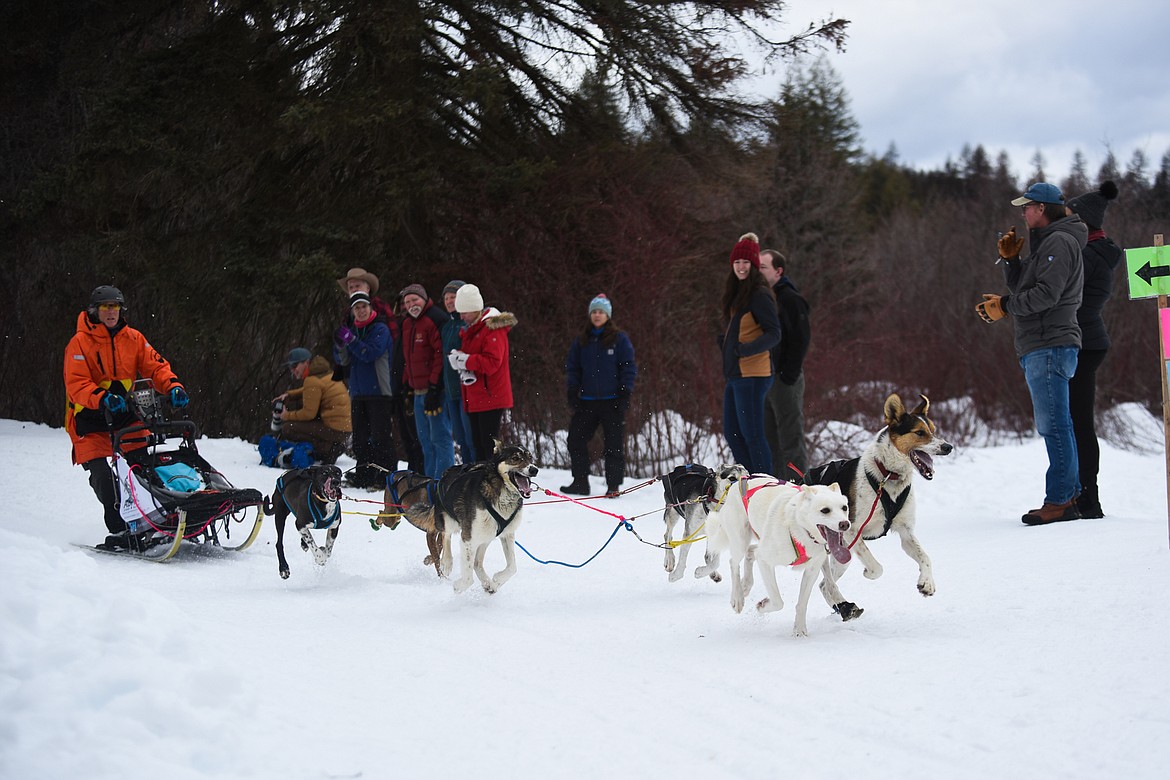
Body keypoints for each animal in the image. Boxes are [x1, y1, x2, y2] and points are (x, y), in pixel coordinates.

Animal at [748, 484, 851, 636]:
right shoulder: (764, 559)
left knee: (750, 553)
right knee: (734, 562)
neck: (800, 530)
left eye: (844, 507)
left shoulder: (812, 570)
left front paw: (800, 630)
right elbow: (778, 602)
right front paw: (763, 606)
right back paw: (737, 596)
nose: (845, 524)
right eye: (825, 510)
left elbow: (802, 604)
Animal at [800, 392, 954, 617]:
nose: (948, 447)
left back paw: (844, 607)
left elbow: (925, 556)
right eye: (919, 432)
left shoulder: (906, 533)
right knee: (826, 582)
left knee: (824, 585)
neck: (888, 475)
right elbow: (877, 567)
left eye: (933, 431)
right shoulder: (852, 531)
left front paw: (927, 583)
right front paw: (868, 572)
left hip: (841, 555)